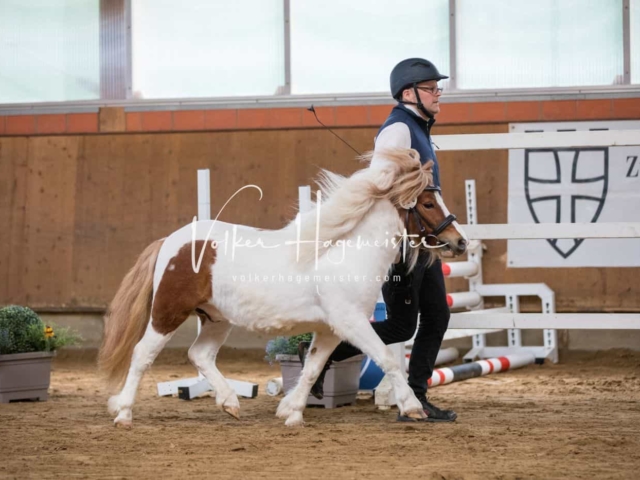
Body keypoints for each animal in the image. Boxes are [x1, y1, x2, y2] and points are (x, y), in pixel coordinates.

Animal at [101, 148, 470, 426]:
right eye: (427, 204)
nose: (460, 242)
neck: (345, 252)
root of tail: (169, 241)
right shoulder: (351, 323)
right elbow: (387, 360)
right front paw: (413, 408)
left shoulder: (330, 330)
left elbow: (312, 368)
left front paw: (290, 412)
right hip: (168, 312)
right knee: (142, 354)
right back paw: (123, 414)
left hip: (216, 318)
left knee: (200, 354)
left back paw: (230, 403)